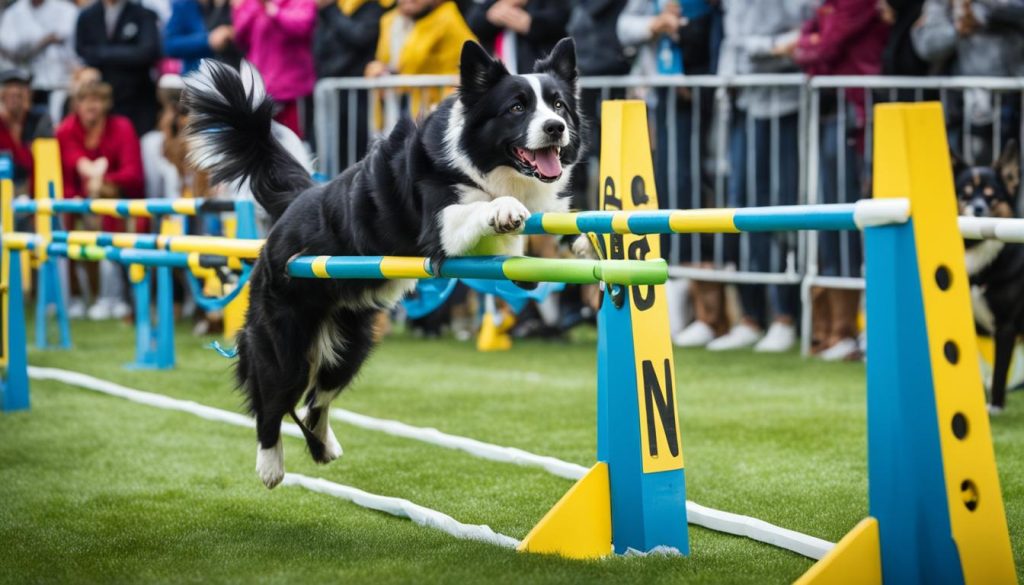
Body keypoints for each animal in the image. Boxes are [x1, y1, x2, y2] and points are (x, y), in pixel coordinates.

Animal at [184, 41, 585, 487]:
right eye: (516, 107)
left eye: (559, 105)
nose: (556, 128)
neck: (486, 162)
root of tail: (299, 200)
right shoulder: (439, 226)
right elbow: (484, 208)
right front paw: (506, 209)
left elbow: (550, 226)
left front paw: (581, 239)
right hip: (285, 339)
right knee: (273, 399)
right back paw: (270, 466)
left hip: (352, 344)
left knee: (316, 399)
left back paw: (325, 448)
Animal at [950, 142, 1024, 413]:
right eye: (965, 194)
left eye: (992, 195)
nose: (978, 208)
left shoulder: (1006, 326)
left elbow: (1000, 370)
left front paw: (996, 405)